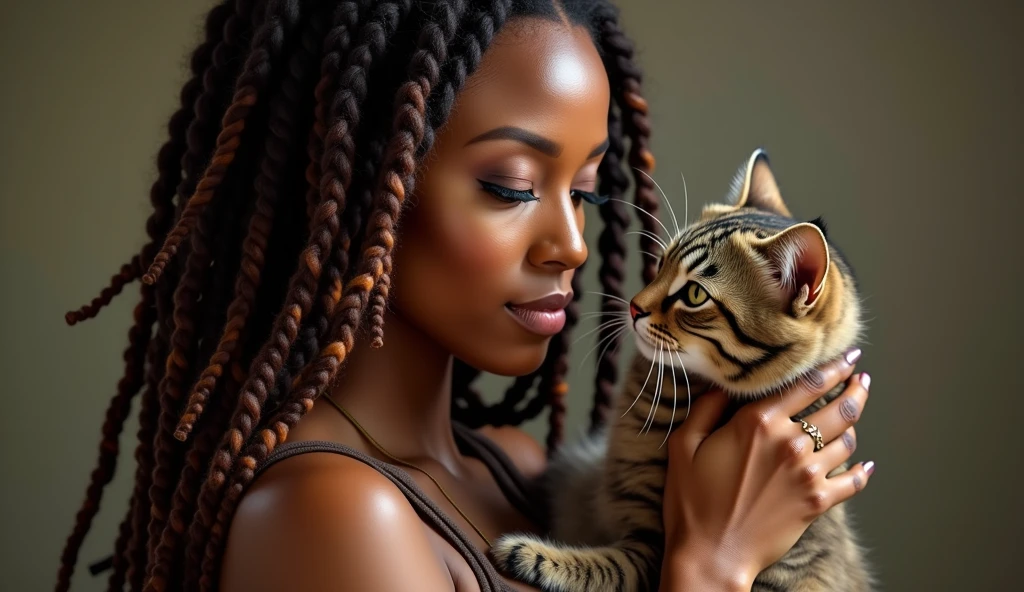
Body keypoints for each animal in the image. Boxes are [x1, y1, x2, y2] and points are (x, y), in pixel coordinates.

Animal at [489, 148, 872, 589]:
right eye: (660, 265)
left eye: (693, 295)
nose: (633, 307)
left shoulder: (656, 552)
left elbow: (605, 568)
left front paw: (529, 554)